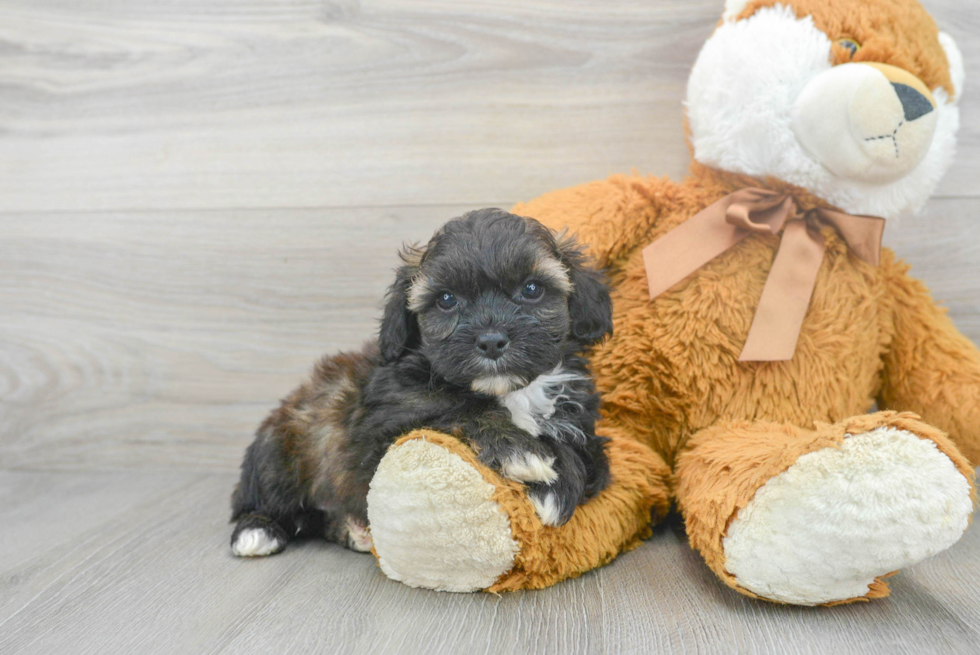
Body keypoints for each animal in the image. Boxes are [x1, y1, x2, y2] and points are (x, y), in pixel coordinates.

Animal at [231, 210, 612, 560]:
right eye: (446, 299)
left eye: (532, 289)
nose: (491, 341)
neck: (509, 391)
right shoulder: (384, 430)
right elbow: (454, 410)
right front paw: (522, 451)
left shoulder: (580, 416)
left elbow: (585, 450)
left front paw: (557, 483)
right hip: (279, 452)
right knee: (258, 498)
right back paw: (257, 531)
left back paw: (353, 531)